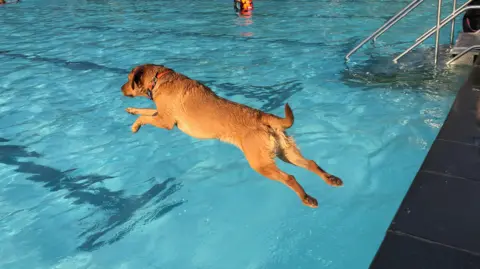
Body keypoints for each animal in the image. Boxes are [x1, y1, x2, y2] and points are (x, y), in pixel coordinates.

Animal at [122, 63, 344, 207]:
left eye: (128, 79)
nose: (120, 88)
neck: (159, 78)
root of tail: (262, 115)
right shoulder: (161, 114)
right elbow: (145, 110)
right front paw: (132, 110)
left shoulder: (165, 121)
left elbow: (146, 117)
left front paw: (135, 125)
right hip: (286, 152)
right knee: (311, 163)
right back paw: (331, 179)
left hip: (261, 164)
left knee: (289, 177)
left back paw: (306, 198)